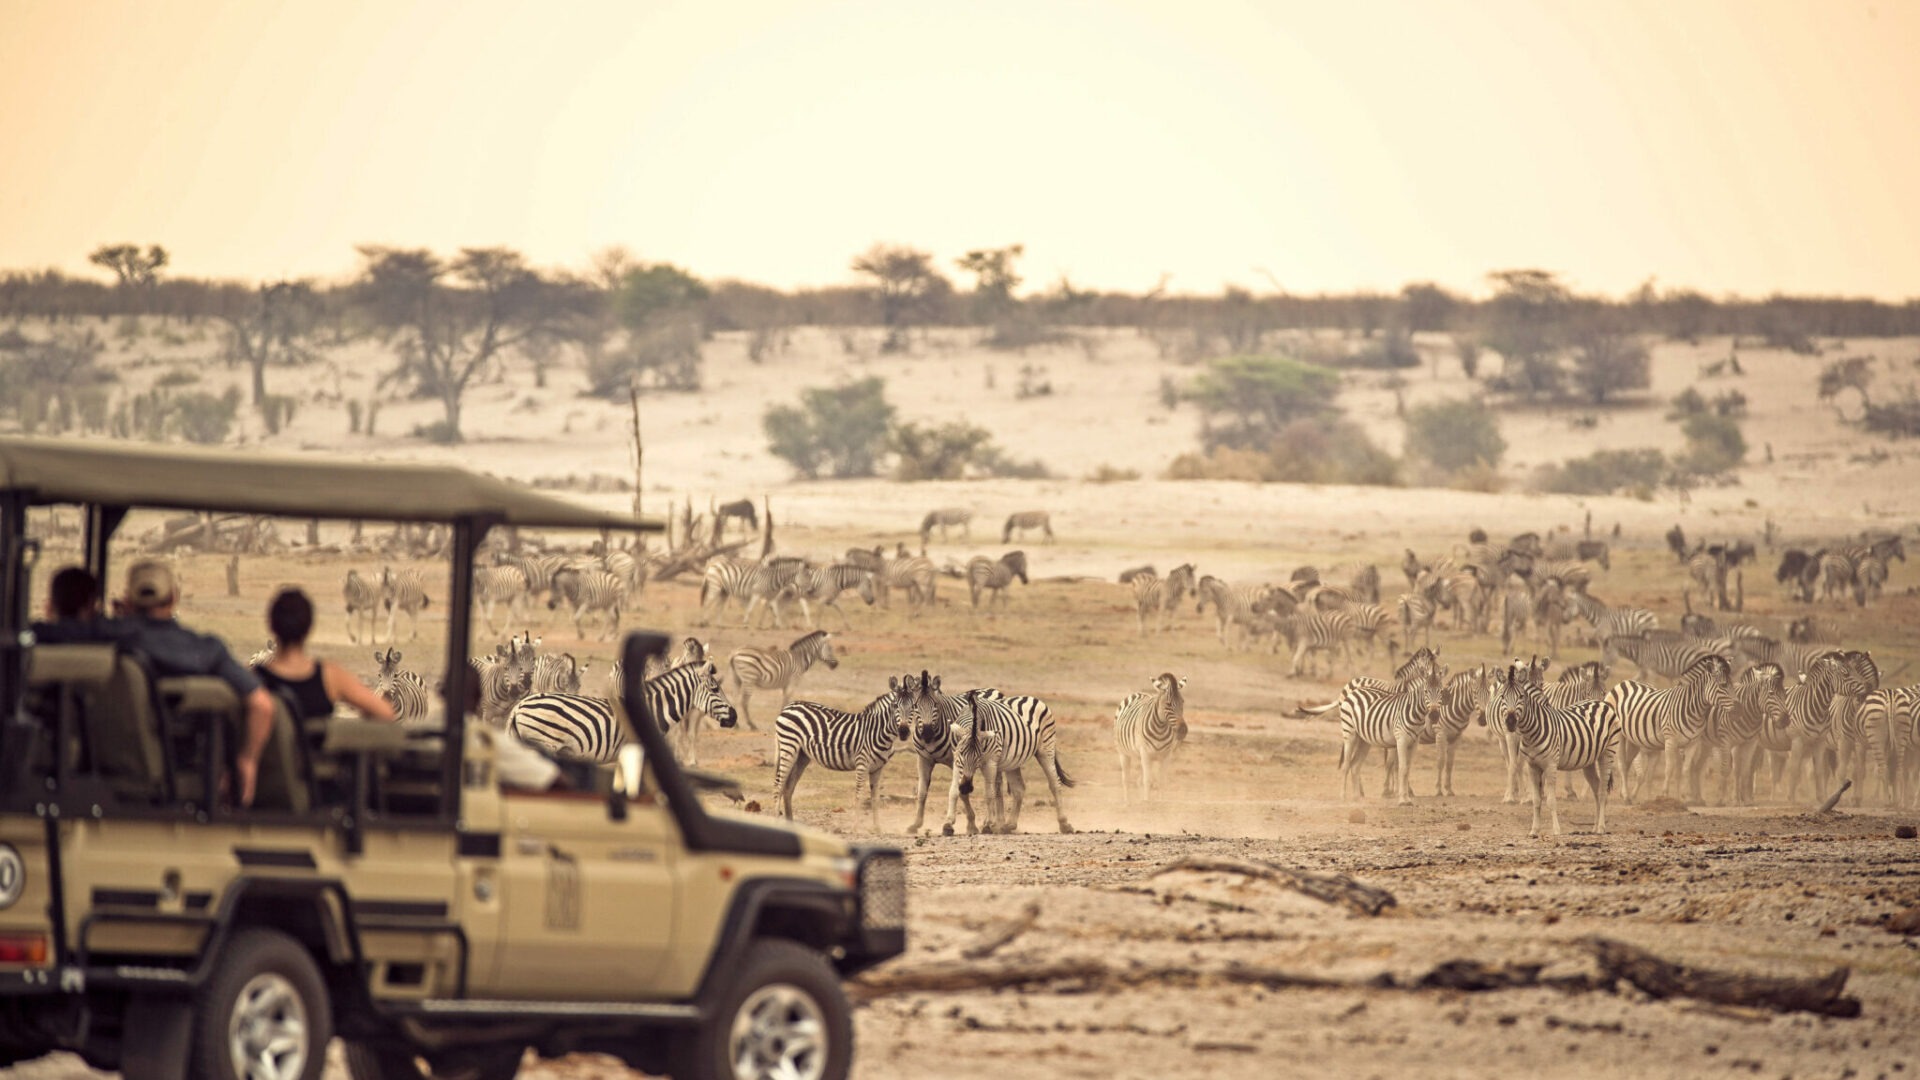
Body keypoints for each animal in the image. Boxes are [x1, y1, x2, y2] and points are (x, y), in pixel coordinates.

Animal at [771, 681, 907, 831]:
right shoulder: (862, 763)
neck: (878, 730)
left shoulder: (878, 768)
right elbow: (859, 794)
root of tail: (789, 706)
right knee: (778, 785)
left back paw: (790, 823)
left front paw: (877, 827)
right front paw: (855, 827)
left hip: (801, 755)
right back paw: (776, 820)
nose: (904, 732)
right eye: (895, 706)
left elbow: (875, 798)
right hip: (788, 746)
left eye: (913, 707)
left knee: (788, 787)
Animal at [962, 688, 1075, 834]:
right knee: (1018, 788)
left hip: (1046, 748)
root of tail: (1032, 697)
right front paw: (993, 823)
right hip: (1012, 759)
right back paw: (1009, 824)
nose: (966, 787)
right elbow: (995, 789)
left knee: (1055, 783)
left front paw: (990, 824)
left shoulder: (990, 759)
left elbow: (992, 789)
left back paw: (1064, 824)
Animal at [1113, 673, 1188, 803]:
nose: (1183, 730)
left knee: (1138, 780)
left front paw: (1160, 802)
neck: (1160, 730)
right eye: (1168, 704)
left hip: (1142, 756)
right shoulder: (1146, 753)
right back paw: (1127, 802)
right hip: (1123, 752)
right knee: (1126, 779)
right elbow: (1147, 781)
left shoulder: (1166, 755)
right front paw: (1147, 802)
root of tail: (1139, 693)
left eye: (1182, 702)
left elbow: (1161, 782)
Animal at [1487, 659, 1622, 836]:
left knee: (1602, 791)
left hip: (1607, 753)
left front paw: (1556, 830)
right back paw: (1594, 827)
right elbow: (1536, 800)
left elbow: (1551, 800)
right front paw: (1534, 830)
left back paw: (1600, 828)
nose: (1510, 722)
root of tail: (1602, 703)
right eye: (1502, 696)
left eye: (1521, 696)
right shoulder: (1532, 766)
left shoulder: (1550, 765)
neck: (1531, 732)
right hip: (1589, 761)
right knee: (1596, 788)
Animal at [1605, 654, 1735, 803]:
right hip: (1619, 735)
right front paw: (1665, 794)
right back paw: (1626, 796)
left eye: (1732, 684)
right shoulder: (1670, 740)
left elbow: (1685, 769)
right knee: (1621, 763)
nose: (1737, 708)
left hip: (1633, 740)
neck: (1691, 708)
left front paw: (1683, 796)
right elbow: (1669, 768)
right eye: (1723, 685)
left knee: (1627, 764)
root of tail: (1623, 683)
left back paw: (1627, 795)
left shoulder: (1692, 743)